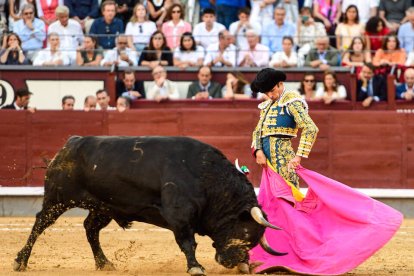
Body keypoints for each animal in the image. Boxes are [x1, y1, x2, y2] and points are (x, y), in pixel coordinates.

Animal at [12, 135, 284, 274]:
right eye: (245, 232)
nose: (234, 263)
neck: (208, 177)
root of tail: (69, 145)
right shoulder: (179, 215)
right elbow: (188, 242)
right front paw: (195, 267)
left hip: (103, 207)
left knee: (90, 229)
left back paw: (104, 263)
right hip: (58, 199)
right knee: (39, 224)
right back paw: (20, 261)